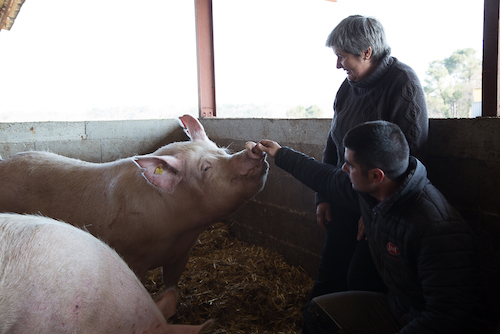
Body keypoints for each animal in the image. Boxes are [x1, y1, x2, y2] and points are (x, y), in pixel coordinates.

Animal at [0, 115, 270, 288]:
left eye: (221, 151)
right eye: (206, 168)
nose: (253, 151)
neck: (177, 230)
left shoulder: (181, 254)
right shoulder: (132, 258)